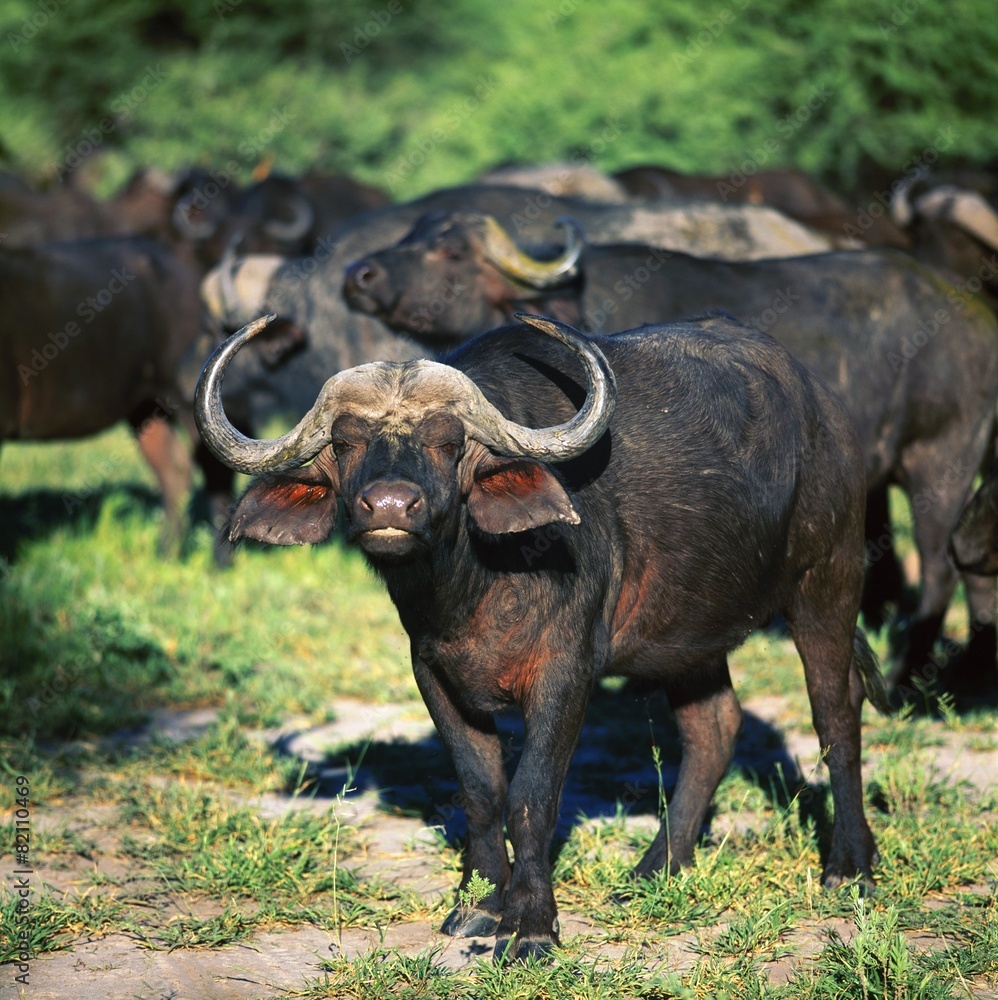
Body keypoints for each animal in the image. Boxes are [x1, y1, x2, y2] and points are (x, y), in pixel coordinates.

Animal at [196, 312, 888, 962]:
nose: (390, 507)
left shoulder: (565, 673)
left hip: (828, 583)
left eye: (449, 442)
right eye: (344, 442)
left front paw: (529, 925)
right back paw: (656, 868)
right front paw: (479, 903)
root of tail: (823, 407)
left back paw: (849, 867)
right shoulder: (433, 674)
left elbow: (532, 797)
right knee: (714, 726)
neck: (472, 586)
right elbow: (480, 790)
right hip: (690, 636)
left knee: (835, 714)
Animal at [343, 211, 998, 695]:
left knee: (943, 563)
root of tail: (974, 313)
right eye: (412, 234)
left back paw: (915, 674)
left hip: (942, 461)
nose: (358, 274)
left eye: (450, 251)